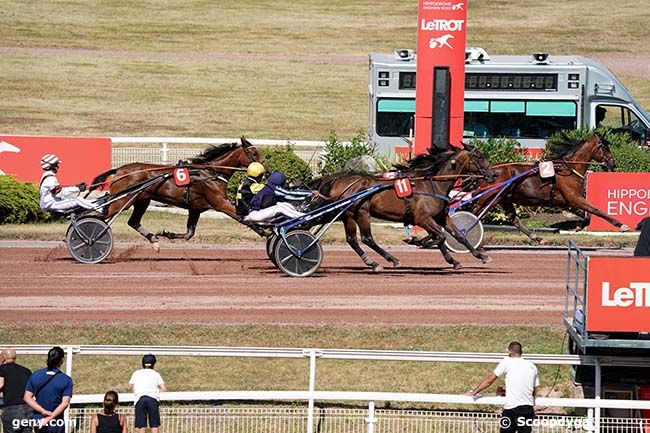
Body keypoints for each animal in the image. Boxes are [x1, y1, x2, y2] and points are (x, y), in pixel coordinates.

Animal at [89, 137, 260, 248]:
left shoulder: (195, 208)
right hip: (121, 202)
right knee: (97, 217)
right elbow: (242, 218)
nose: (264, 171)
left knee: (133, 221)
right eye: (254, 154)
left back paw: (154, 239)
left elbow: (189, 234)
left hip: (141, 200)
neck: (210, 173)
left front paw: (166, 234)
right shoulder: (220, 203)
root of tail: (119, 170)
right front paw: (262, 232)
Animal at [312, 145, 494, 270]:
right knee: (366, 238)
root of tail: (336, 179)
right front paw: (420, 241)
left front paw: (478, 256)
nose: (492, 175)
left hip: (346, 215)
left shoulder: (441, 217)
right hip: (359, 213)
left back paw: (374, 261)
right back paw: (387, 260)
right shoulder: (422, 218)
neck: (433, 185)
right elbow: (441, 236)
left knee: (352, 239)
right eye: (479, 156)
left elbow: (459, 236)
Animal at [468, 132, 624, 241]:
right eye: (605, 147)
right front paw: (621, 225)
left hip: (504, 199)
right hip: (489, 197)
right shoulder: (574, 198)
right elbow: (596, 210)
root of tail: (487, 172)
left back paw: (535, 237)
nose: (613, 164)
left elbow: (587, 214)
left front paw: (579, 226)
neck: (568, 169)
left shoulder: (567, 201)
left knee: (513, 219)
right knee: (474, 213)